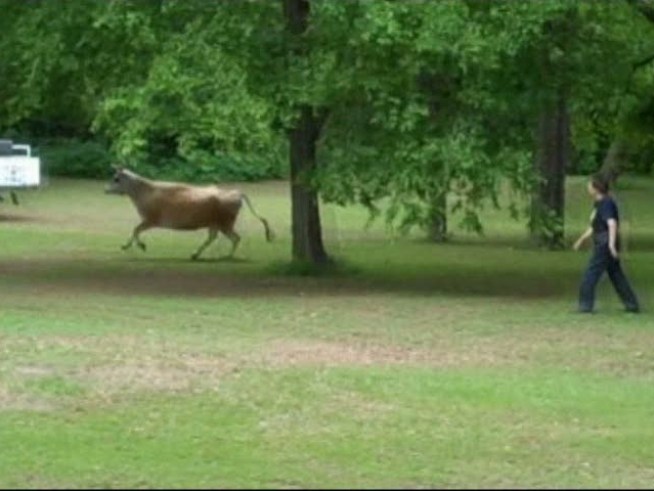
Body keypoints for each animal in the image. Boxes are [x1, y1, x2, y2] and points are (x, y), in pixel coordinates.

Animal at [105, 166, 274, 260]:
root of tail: (236, 193)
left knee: (235, 238)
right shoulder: (149, 221)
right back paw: (195, 254)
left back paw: (226, 256)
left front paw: (137, 246)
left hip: (226, 223)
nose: (106, 189)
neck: (143, 192)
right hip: (215, 224)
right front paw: (129, 245)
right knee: (213, 238)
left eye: (116, 178)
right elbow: (135, 230)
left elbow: (135, 230)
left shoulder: (150, 220)